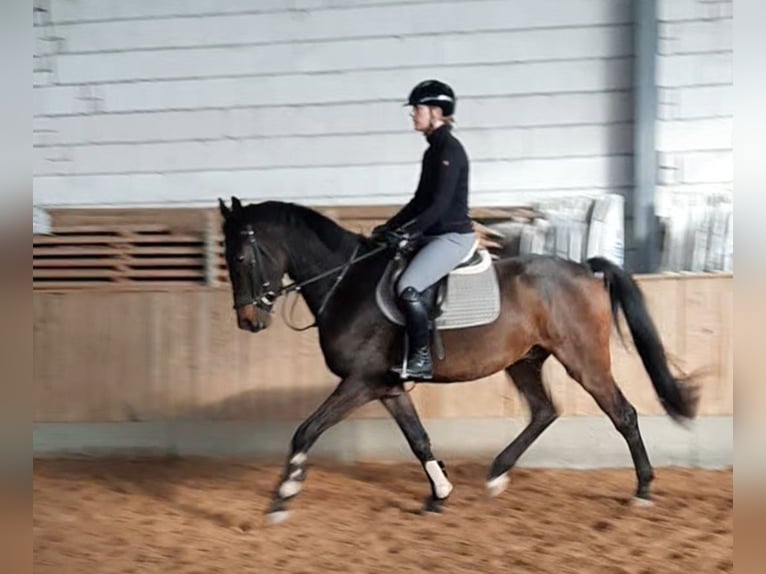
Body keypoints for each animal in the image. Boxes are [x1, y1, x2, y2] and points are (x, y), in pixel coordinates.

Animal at [217, 197, 699, 523]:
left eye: (240, 257)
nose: (248, 320)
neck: (347, 282)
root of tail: (586, 270)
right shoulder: (386, 385)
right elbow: (419, 439)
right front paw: (439, 494)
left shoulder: (360, 382)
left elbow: (306, 431)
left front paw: (283, 495)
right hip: (525, 360)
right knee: (544, 411)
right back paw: (497, 474)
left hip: (584, 360)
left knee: (623, 414)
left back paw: (643, 489)